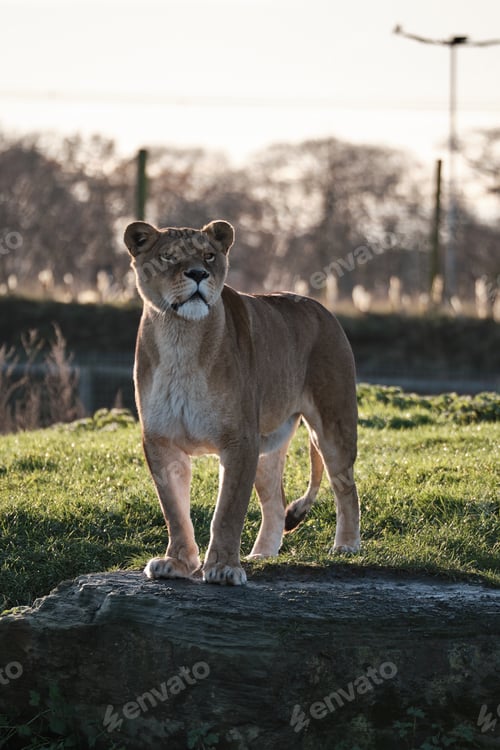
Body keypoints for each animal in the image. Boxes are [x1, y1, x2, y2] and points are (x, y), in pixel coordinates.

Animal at [124, 219, 360, 586]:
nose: (198, 274)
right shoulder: (161, 441)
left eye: (208, 256)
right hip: (267, 446)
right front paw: (176, 563)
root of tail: (319, 306)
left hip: (333, 424)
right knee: (275, 503)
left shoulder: (240, 440)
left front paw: (223, 568)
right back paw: (262, 554)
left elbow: (227, 512)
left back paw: (346, 546)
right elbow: (174, 511)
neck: (181, 338)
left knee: (346, 487)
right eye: (168, 257)